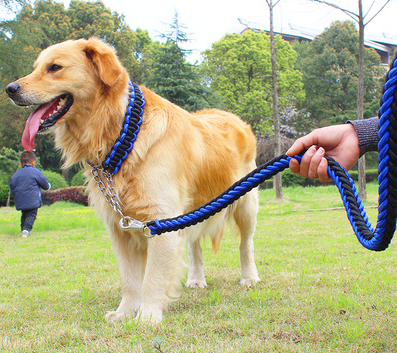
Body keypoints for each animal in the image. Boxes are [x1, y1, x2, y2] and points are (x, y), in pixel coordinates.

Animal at [6, 37, 260, 322]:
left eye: (54, 67)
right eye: (35, 67)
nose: (10, 89)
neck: (122, 137)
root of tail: (234, 117)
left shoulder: (160, 220)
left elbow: (152, 278)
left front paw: (147, 317)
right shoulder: (119, 227)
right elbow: (129, 279)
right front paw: (124, 313)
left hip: (246, 204)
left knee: (246, 244)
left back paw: (249, 277)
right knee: (195, 246)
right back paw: (196, 279)